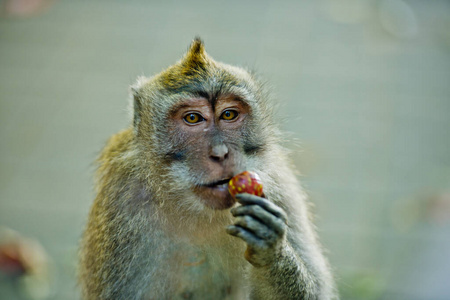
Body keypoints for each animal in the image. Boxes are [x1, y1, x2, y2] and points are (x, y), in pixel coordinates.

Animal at [79, 38, 336, 300]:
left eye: (229, 114)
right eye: (193, 118)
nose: (220, 153)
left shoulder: (280, 186)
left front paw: (272, 250)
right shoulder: (123, 199)